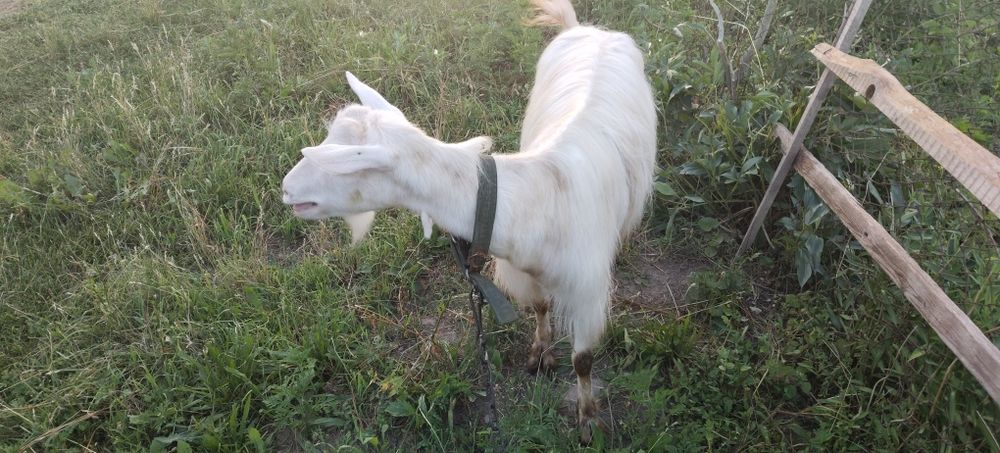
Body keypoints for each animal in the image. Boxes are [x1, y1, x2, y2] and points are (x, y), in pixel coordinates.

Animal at [281, 0, 656, 441]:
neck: (530, 198)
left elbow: (583, 360)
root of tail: (585, 29)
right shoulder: (522, 270)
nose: (286, 189)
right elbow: (541, 305)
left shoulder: (587, 292)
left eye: (347, 169)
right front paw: (540, 354)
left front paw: (586, 421)